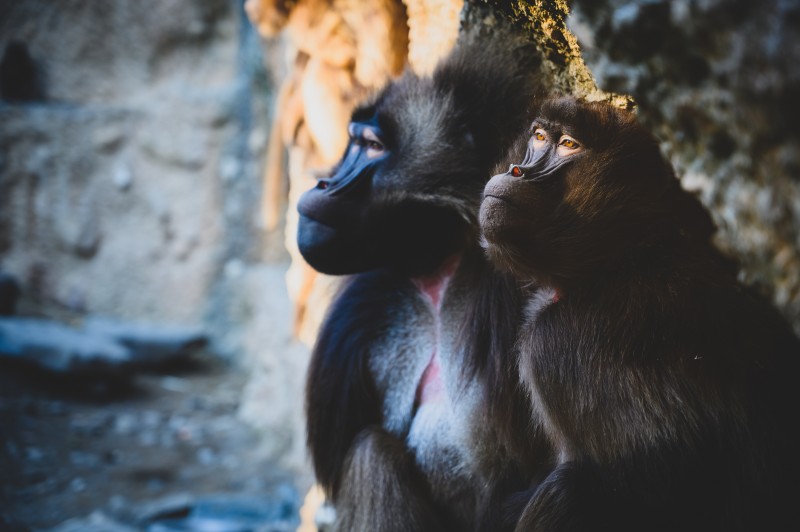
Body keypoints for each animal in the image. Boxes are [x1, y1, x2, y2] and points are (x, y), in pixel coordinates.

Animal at [296, 28, 552, 528]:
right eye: (352, 142)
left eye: (372, 147)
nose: (322, 185)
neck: (436, 280)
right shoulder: (373, 300)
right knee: (373, 452)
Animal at [482, 95, 800, 532]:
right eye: (541, 137)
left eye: (569, 146)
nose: (519, 171)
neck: (622, 256)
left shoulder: (554, 348)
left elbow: (663, 472)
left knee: (570, 492)